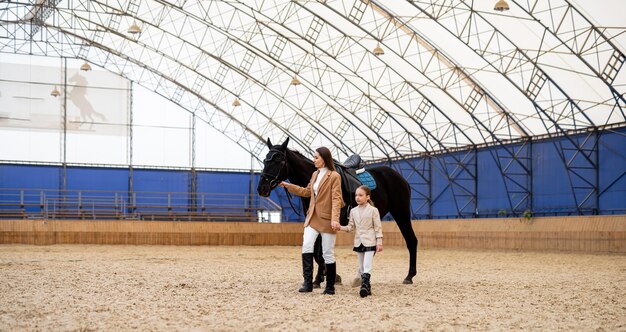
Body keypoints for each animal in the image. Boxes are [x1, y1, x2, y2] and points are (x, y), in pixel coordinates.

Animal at [256, 136, 416, 284]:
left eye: (278, 161)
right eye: (264, 161)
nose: (261, 188)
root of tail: (401, 179)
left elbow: (320, 251)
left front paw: (320, 278)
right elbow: (317, 251)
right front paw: (327, 276)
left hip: (401, 213)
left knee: (411, 240)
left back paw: (409, 276)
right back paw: (360, 277)